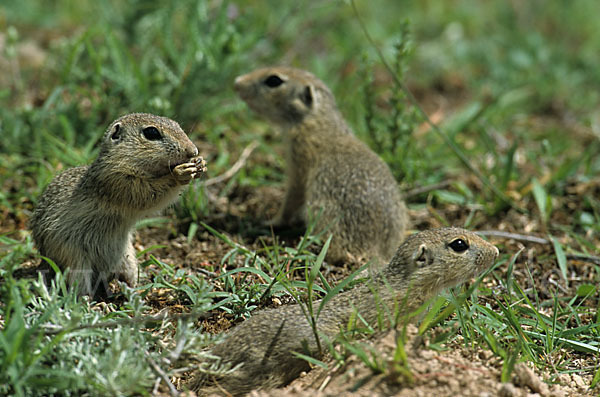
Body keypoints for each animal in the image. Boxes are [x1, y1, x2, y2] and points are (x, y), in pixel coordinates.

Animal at [31, 111, 207, 296]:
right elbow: (148, 193)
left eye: (177, 124)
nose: (193, 151)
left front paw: (200, 164)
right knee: (78, 287)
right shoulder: (117, 181)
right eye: (151, 132)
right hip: (76, 262)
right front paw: (179, 173)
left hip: (127, 260)